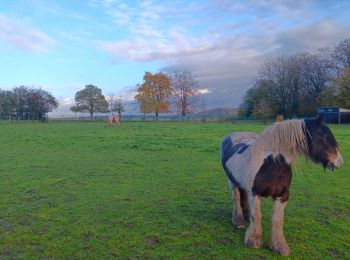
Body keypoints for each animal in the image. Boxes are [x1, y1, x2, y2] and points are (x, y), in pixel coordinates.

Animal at [221, 115, 342, 256]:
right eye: (324, 137)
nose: (339, 161)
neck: (272, 163)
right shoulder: (255, 193)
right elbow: (257, 216)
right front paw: (253, 241)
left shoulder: (283, 196)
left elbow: (278, 220)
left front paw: (279, 247)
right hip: (232, 181)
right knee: (236, 199)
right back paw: (238, 221)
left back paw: (245, 218)